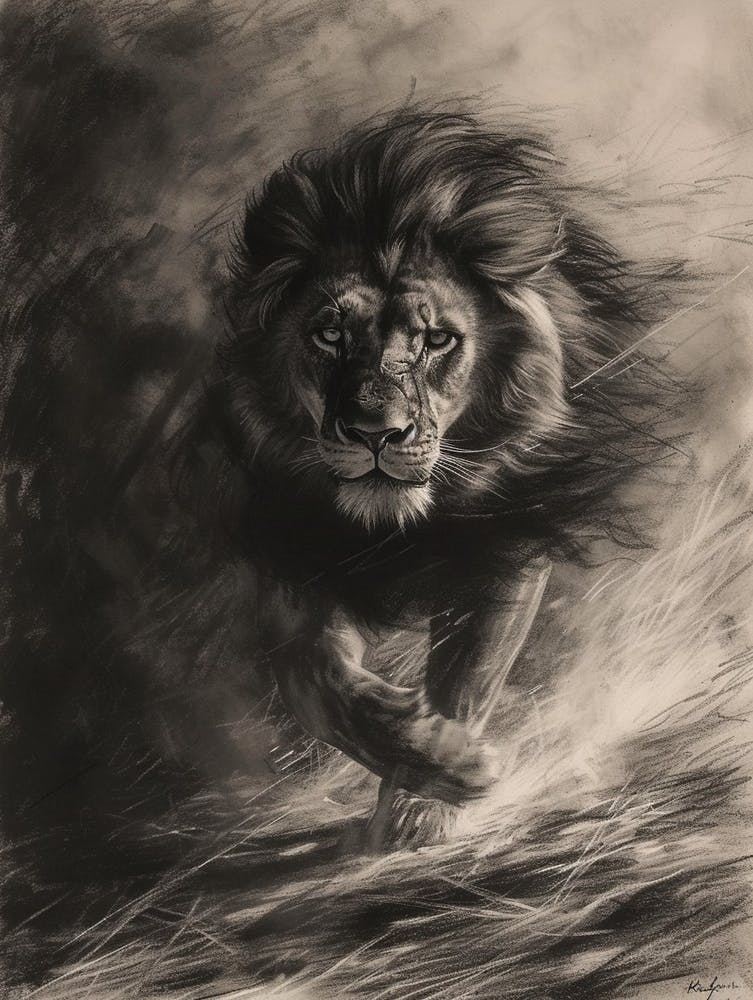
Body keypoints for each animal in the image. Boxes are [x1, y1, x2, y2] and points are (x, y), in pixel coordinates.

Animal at [204, 110, 679, 846]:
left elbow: (466, 680)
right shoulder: (297, 563)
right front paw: (442, 761)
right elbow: (318, 682)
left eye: (436, 341)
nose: (376, 432)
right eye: (329, 335)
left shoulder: (504, 554)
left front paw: (423, 805)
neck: (399, 529)